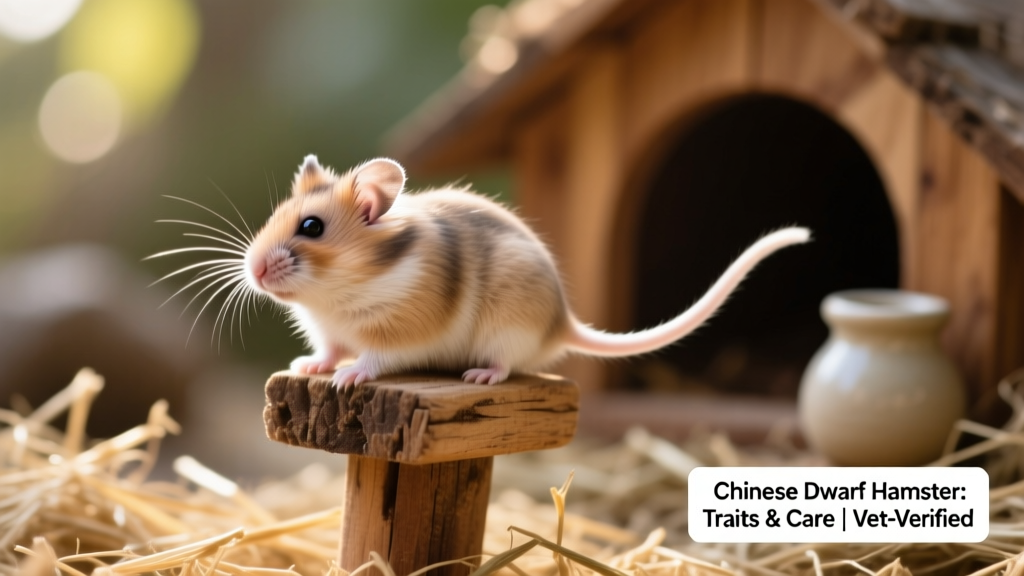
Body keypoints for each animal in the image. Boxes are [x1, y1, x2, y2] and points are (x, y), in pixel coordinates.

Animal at [244, 155, 810, 388]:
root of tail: (564, 323)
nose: (252, 270)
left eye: (312, 227)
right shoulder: (329, 332)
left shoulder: (402, 330)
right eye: (275, 216)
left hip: (507, 329)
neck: (337, 292)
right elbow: (329, 351)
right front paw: (307, 368)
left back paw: (479, 374)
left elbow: (374, 357)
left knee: (506, 363)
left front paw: (347, 379)